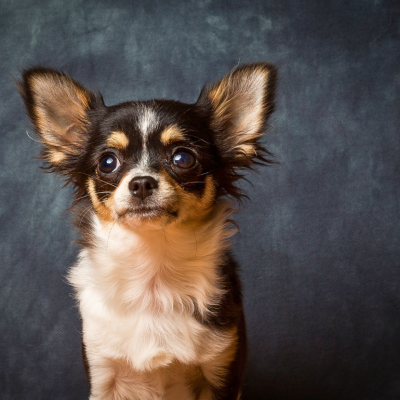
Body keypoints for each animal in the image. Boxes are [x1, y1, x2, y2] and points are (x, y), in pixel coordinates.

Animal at [18, 63, 276, 400]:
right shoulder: (102, 373)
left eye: (183, 158)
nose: (141, 182)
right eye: (108, 162)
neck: (154, 270)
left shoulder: (223, 371)